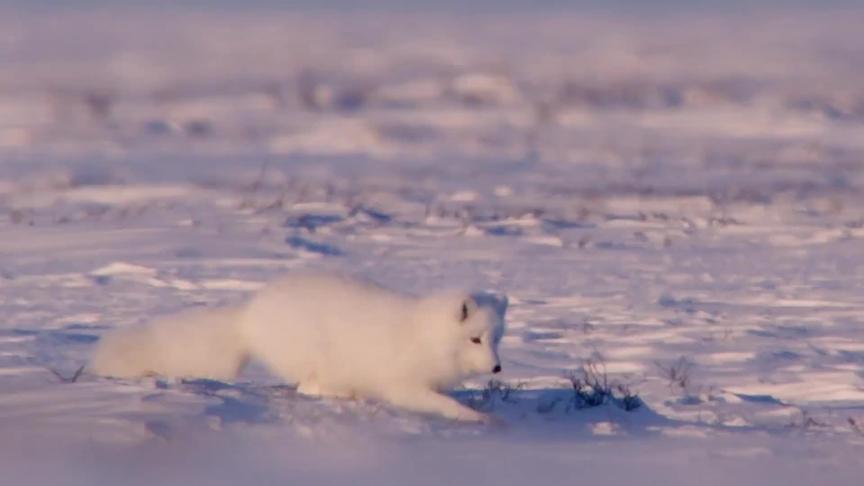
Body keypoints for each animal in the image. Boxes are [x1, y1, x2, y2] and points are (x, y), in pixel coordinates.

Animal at [89, 276, 506, 424]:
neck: (425, 337)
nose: (497, 369)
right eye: (475, 339)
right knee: (309, 387)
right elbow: (444, 405)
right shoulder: (403, 386)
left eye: (496, 338)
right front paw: (479, 419)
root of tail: (250, 313)